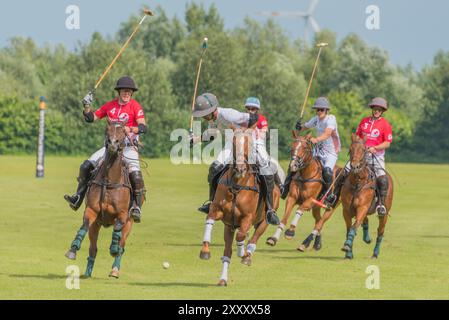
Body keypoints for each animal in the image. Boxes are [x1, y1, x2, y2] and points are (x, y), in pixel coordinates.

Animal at [64, 122, 136, 278]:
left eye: (123, 132)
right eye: (107, 131)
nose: (113, 144)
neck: (109, 181)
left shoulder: (122, 214)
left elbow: (117, 229)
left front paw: (113, 248)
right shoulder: (91, 210)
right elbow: (84, 226)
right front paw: (73, 249)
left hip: (130, 223)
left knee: (122, 245)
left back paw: (114, 269)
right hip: (96, 225)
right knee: (93, 248)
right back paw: (87, 272)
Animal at [199, 129, 278, 286]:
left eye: (250, 144)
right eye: (234, 143)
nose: (240, 168)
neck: (237, 185)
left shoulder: (247, 217)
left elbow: (241, 235)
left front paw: (243, 253)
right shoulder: (217, 211)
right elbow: (209, 220)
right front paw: (205, 251)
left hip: (264, 221)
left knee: (254, 238)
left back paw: (247, 255)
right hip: (229, 227)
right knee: (227, 252)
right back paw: (222, 279)